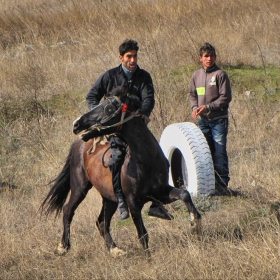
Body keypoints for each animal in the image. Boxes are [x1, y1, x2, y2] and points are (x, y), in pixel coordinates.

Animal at [40, 90, 201, 258]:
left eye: (108, 108)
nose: (76, 124)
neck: (146, 160)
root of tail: (79, 145)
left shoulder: (160, 192)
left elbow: (184, 194)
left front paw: (195, 225)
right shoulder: (133, 202)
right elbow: (142, 234)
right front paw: (148, 259)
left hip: (110, 198)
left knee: (101, 221)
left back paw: (114, 249)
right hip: (80, 188)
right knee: (68, 210)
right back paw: (63, 246)